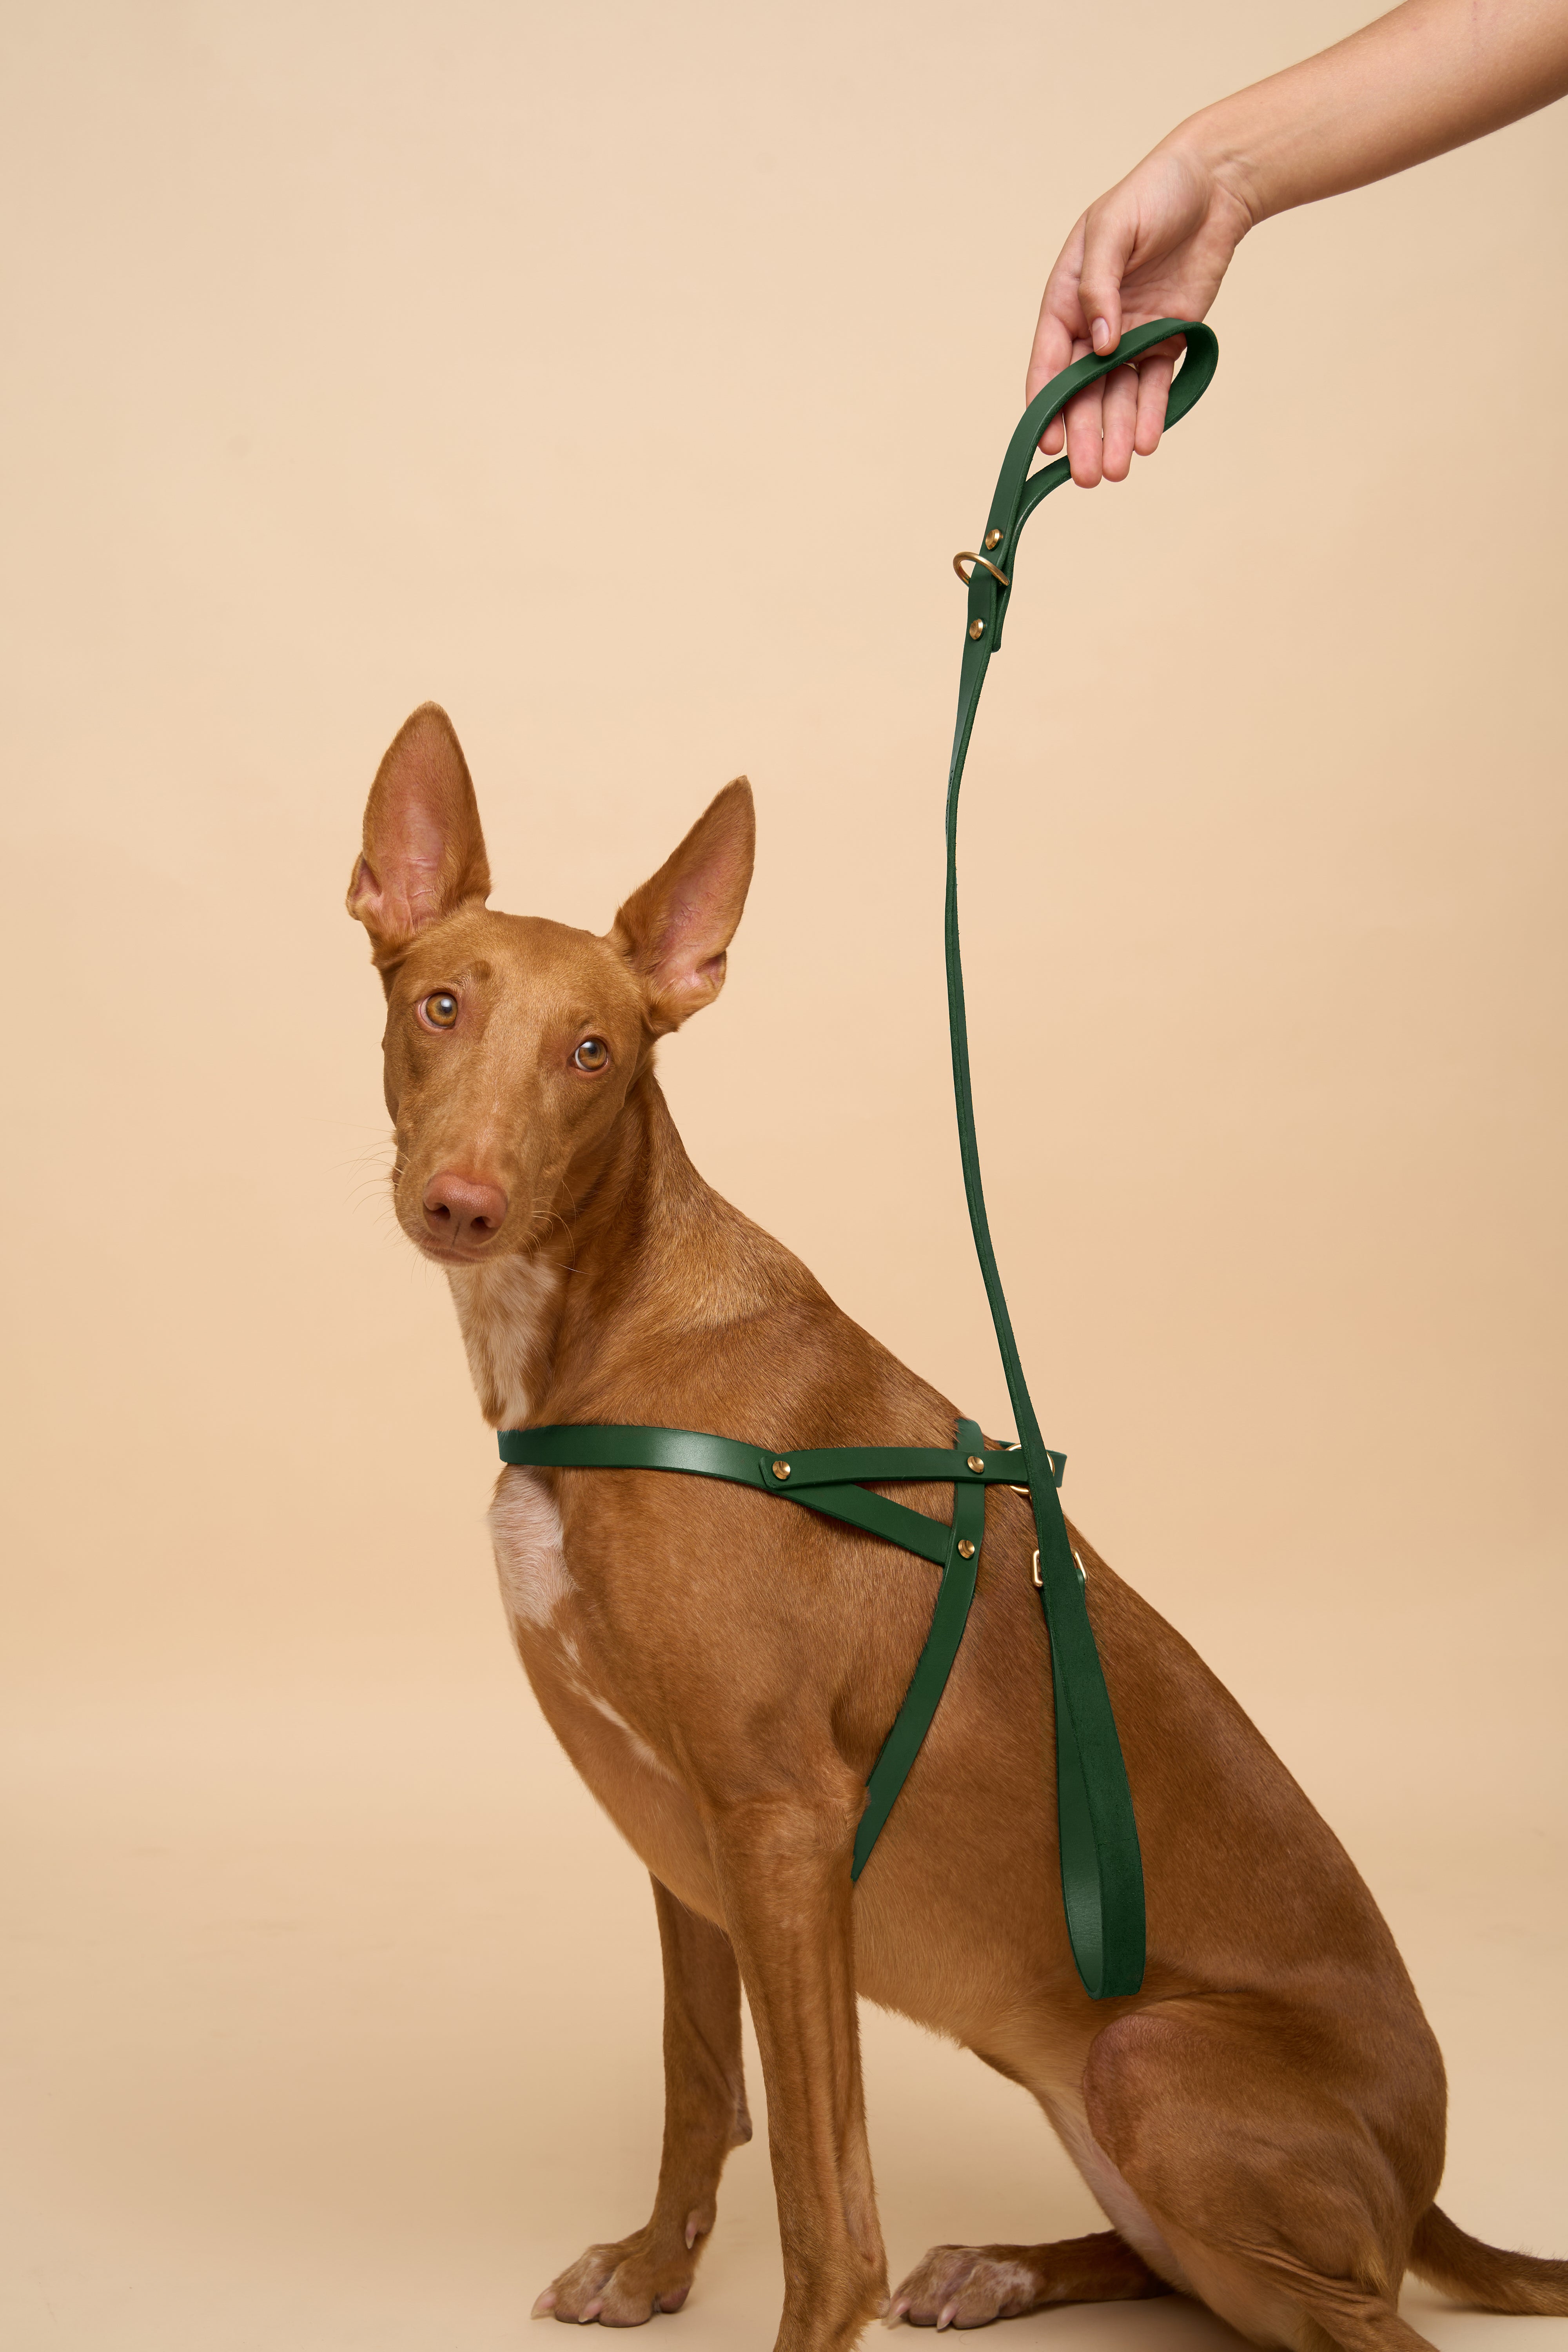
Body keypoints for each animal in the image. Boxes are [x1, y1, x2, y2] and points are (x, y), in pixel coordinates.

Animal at [350, 706, 1561, 2343]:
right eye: (439, 1007)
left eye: (591, 1053)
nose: (461, 1205)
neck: (607, 1334)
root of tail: (1422, 2187)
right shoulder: (678, 1826)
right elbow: (694, 2086)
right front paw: (656, 2272)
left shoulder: (778, 1821)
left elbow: (825, 2195)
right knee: (1188, 2272)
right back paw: (1012, 2264)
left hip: (1148, 2060)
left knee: (1368, 2320)